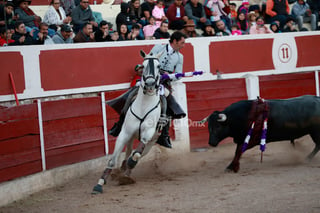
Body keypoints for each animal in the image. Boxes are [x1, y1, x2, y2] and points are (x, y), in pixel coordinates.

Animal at [92, 50, 162, 195]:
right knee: (129, 150)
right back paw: (123, 170)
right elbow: (113, 160)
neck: (144, 104)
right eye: (143, 65)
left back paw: (126, 174)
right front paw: (99, 184)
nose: (150, 84)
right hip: (131, 137)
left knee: (137, 154)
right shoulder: (125, 133)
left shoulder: (147, 135)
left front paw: (129, 166)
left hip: (152, 142)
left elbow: (136, 155)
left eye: (159, 66)